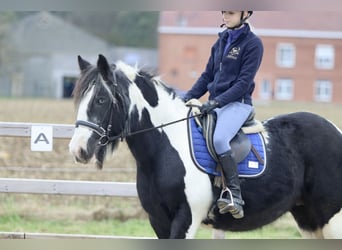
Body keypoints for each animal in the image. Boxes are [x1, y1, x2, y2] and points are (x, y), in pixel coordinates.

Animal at [69, 54, 342, 238]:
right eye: (80, 99)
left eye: (101, 99)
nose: (78, 149)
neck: (166, 149)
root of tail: (335, 131)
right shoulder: (158, 221)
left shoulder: (186, 219)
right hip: (309, 220)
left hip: (332, 219)